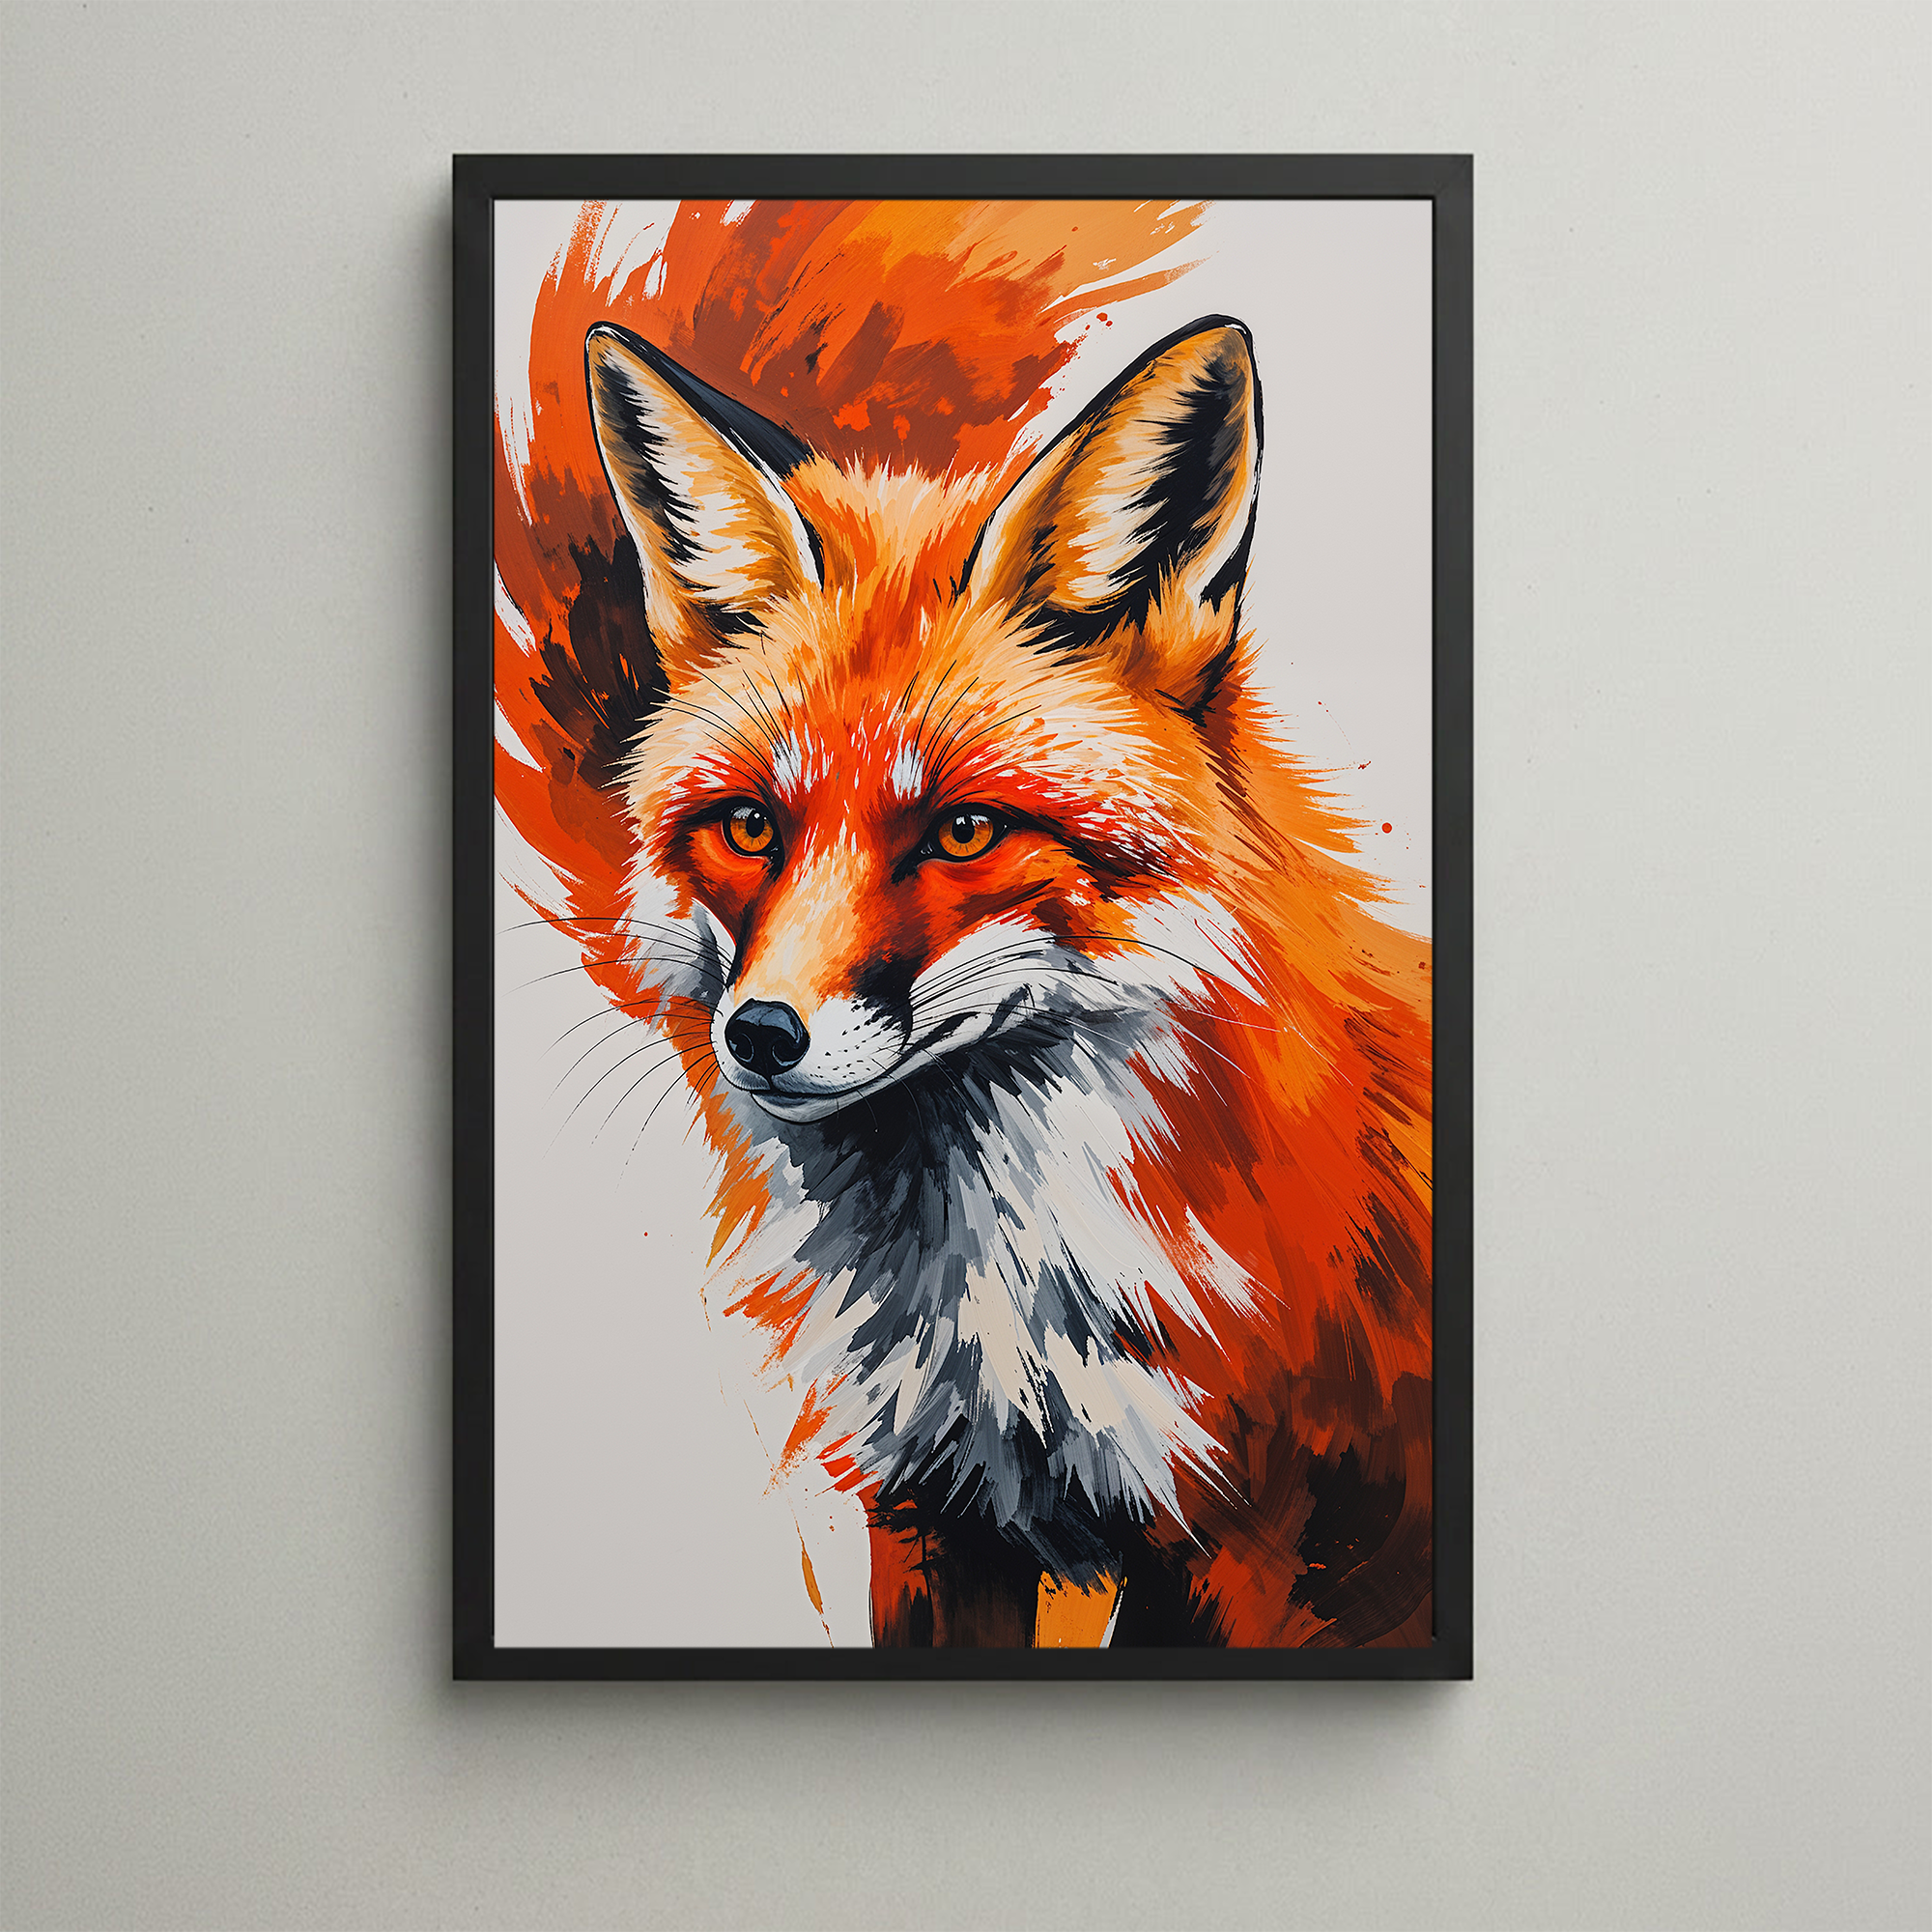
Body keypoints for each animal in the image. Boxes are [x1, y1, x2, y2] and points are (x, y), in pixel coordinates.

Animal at [574, 310, 1433, 1647]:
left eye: (963, 832)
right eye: (750, 827)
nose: (759, 1034)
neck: (994, 1315)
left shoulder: (1237, 1540)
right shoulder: (930, 1513)